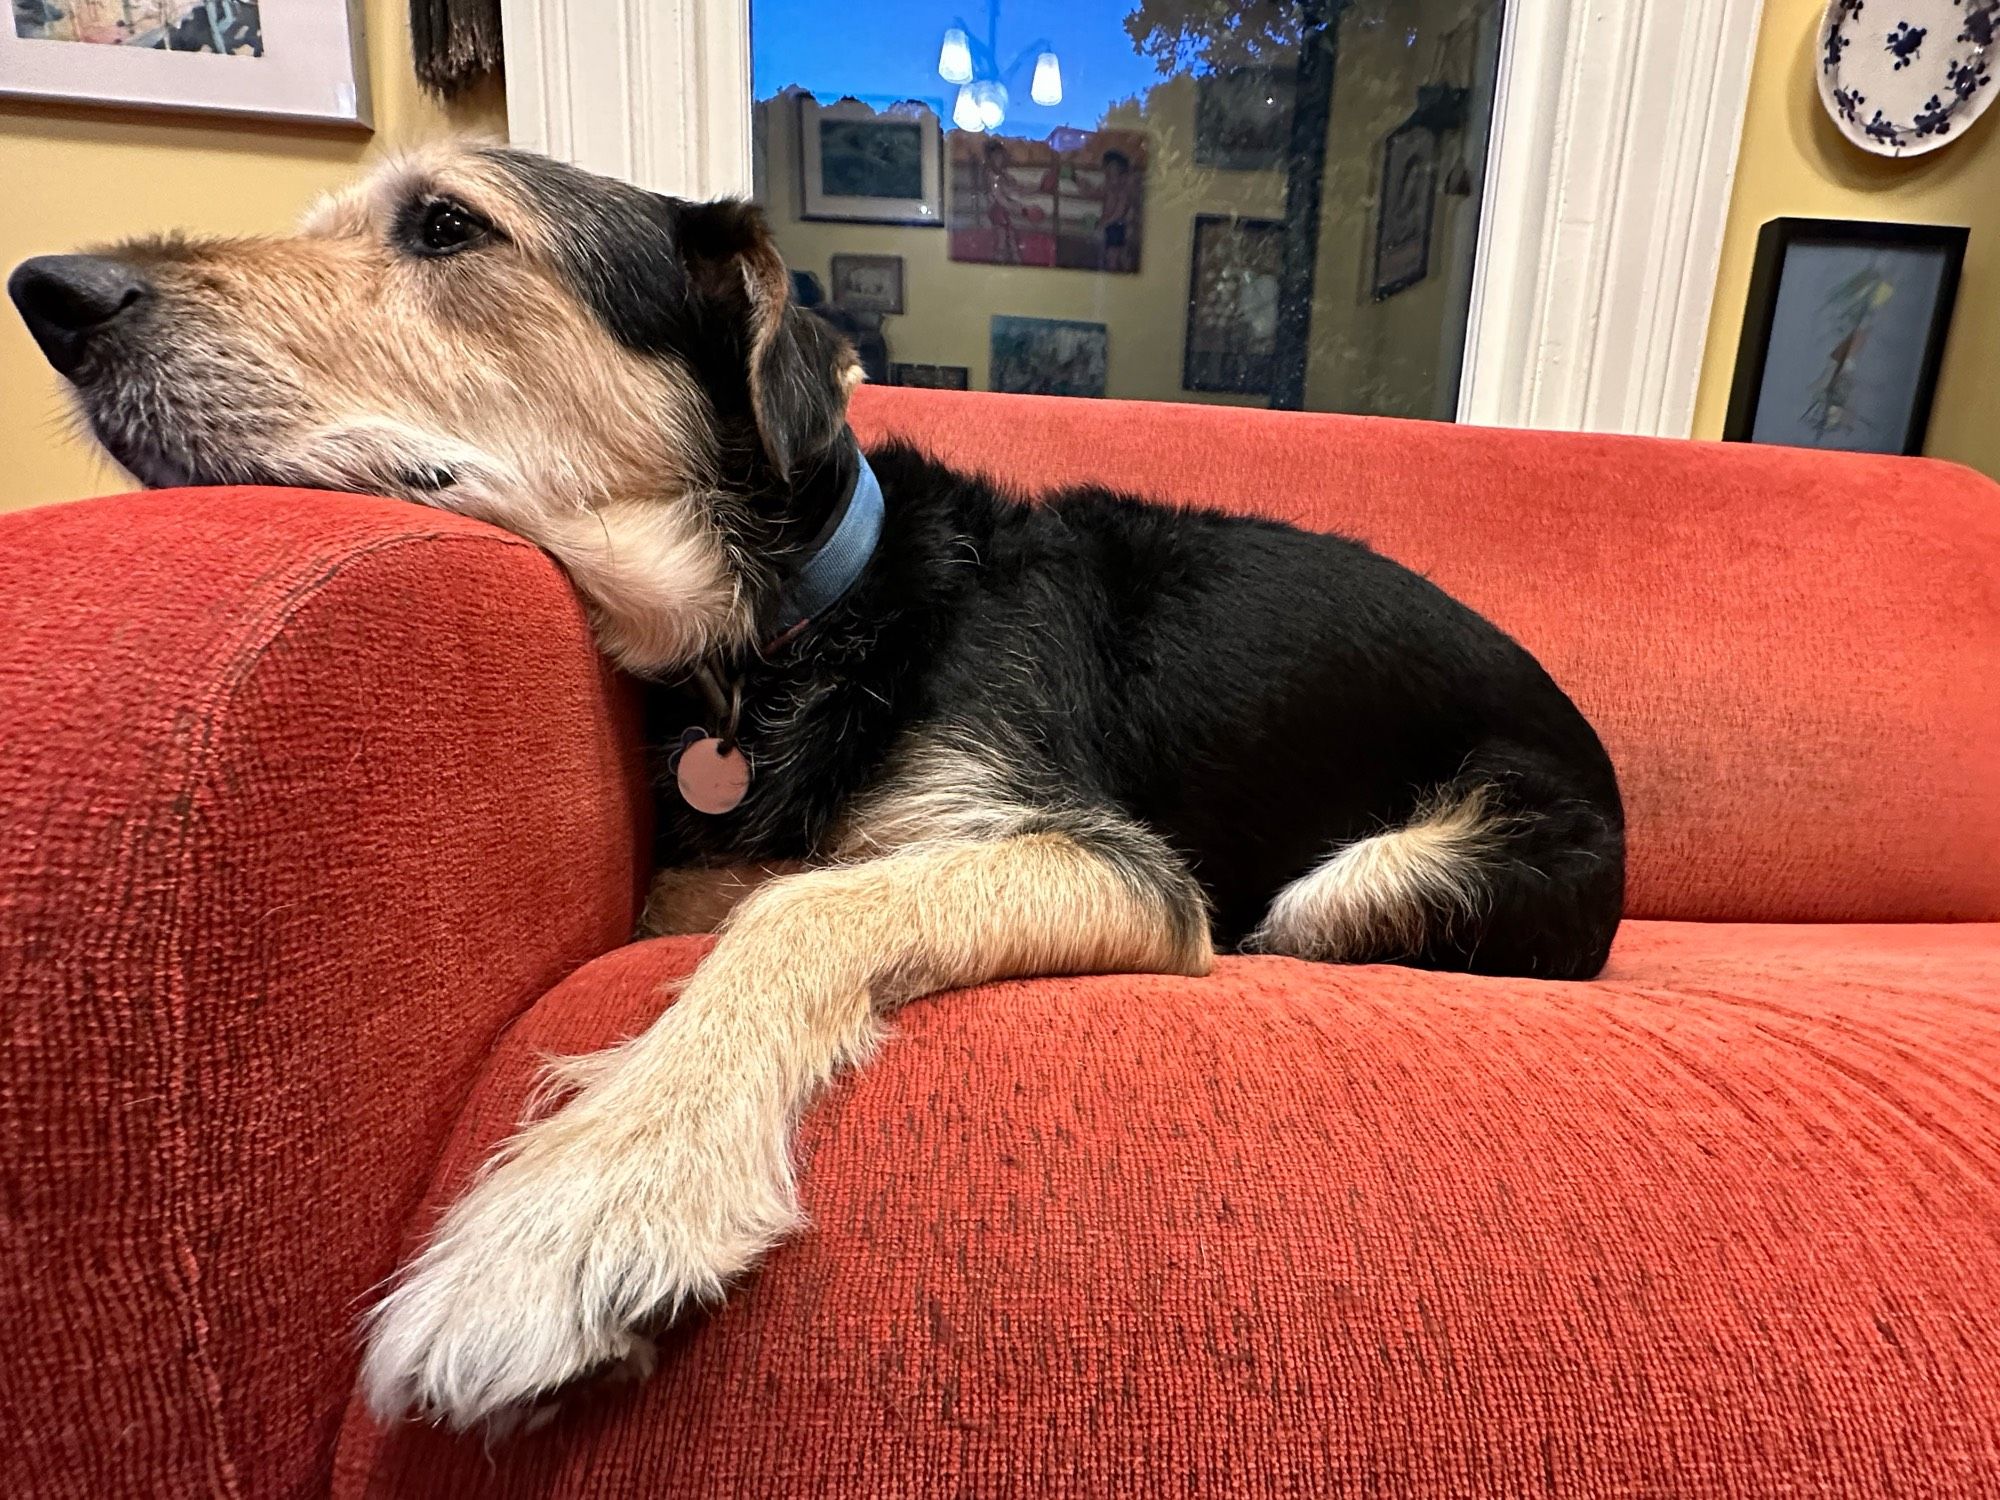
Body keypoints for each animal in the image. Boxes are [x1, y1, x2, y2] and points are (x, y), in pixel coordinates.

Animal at [7, 138, 1624, 1432]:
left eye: (449, 227)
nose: (49, 293)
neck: (789, 626)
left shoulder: (1093, 857)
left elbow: (797, 914)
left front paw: (589, 1195)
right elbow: (724, 897)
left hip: (1383, 876)